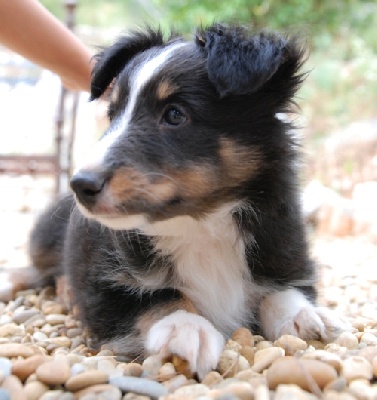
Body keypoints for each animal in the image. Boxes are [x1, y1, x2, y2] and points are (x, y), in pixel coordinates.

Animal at [9, 24, 350, 378]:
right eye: (113, 115)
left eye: (174, 114)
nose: (80, 185)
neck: (200, 226)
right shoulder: (100, 287)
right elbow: (157, 298)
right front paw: (185, 329)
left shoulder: (287, 253)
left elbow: (283, 290)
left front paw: (306, 315)